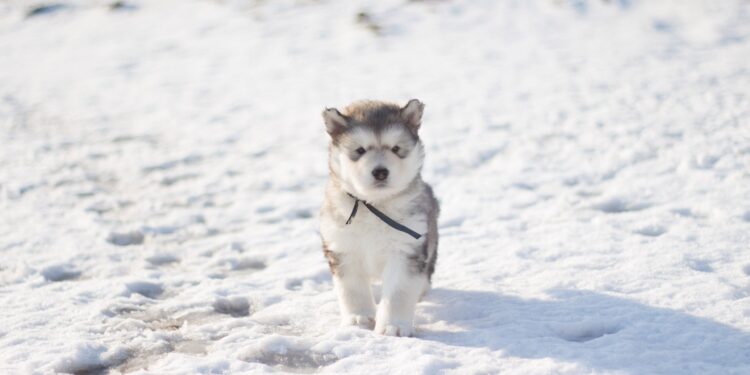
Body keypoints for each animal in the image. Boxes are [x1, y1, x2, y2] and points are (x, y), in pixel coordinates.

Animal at [318, 99, 438, 338]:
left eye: (395, 149)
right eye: (360, 150)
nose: (380, 171)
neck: (373, 205)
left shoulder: (406, 249)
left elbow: (398, 292)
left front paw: (394, 326)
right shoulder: (343, 248)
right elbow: (352, 289)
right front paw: (359, 319)